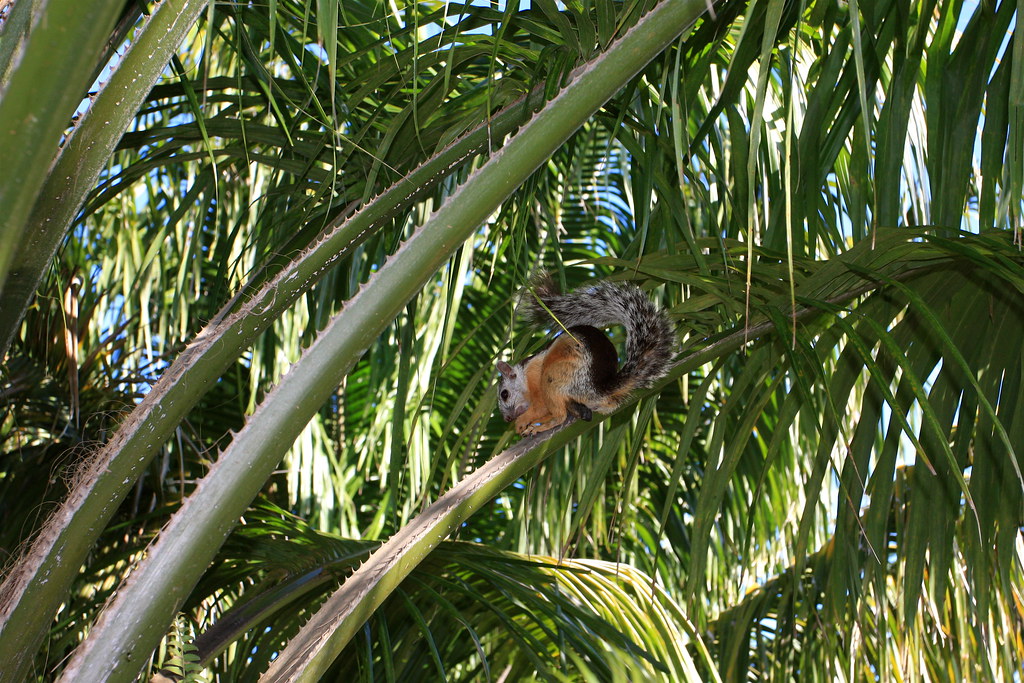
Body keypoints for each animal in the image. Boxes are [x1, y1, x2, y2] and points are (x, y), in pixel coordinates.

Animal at [496, 275, 675, 436]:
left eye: (504, 394)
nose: (507, 419)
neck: (523, 377)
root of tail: (599, 389)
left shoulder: (535, 376)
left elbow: (540, 407)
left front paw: (522, 422)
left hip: (556, 375)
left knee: (560, 415)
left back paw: (543, 426)